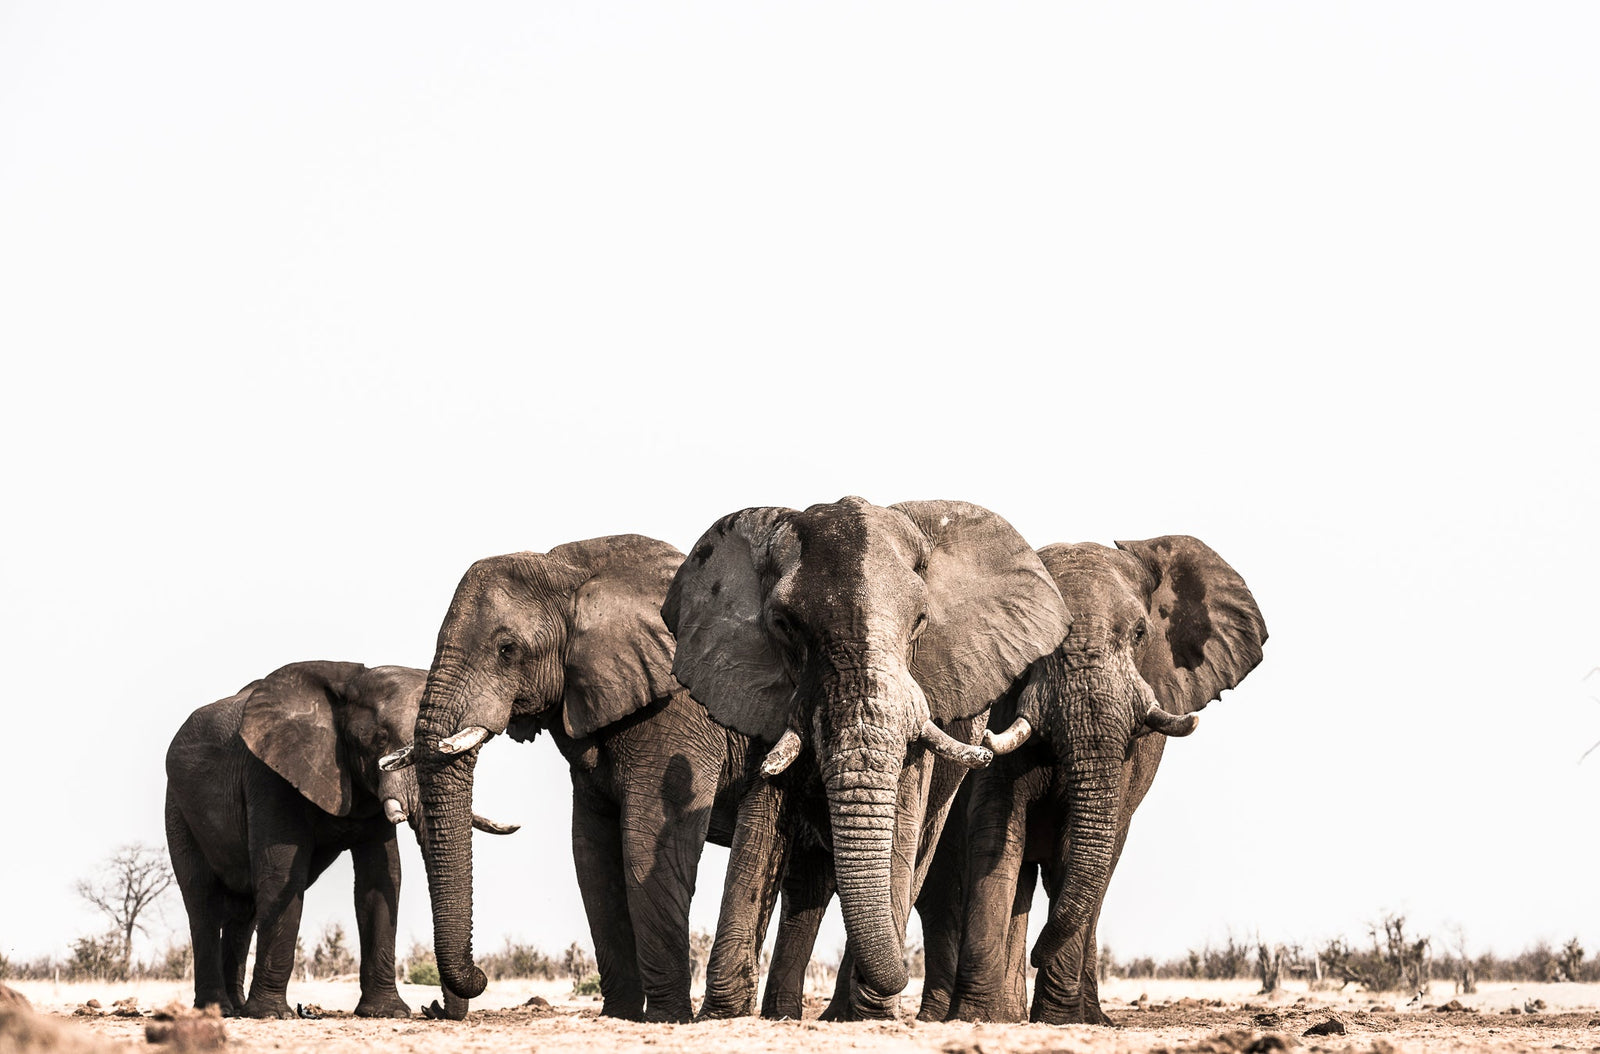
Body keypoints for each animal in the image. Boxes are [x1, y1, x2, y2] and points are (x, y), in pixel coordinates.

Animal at [164, 660, 517, 1019]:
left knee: (243, 909)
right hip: (177, 808)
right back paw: (217, 1009)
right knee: (202, 900)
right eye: (379, 738)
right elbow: (280, 875)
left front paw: (386, 1012)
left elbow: (382, 877)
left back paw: (235, 1008)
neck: (351, 683)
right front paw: (271, 1014)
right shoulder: (269, 774)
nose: (432, 1007)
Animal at [396, 534, 772, 1023]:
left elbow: (646, 839)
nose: (478, 978)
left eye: (507, 650)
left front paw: (668, 1018)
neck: (572, 572)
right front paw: (622, 1016)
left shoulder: (681, 713)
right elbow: (591, 852)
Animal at [662, 496, 1072, 1020]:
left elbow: (903, 817)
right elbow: (762, 822)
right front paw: (722, 1016)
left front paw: (874, 1013)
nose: (897, 976)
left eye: (921, 621)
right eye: (783, 625)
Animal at [945, 537, 1267, 1025]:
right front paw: (974, 1017)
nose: (1037, 954)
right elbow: (997, 832)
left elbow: (1083, 848)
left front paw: (1059, 1020)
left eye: (1139, 633)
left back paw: (1085, 1017)